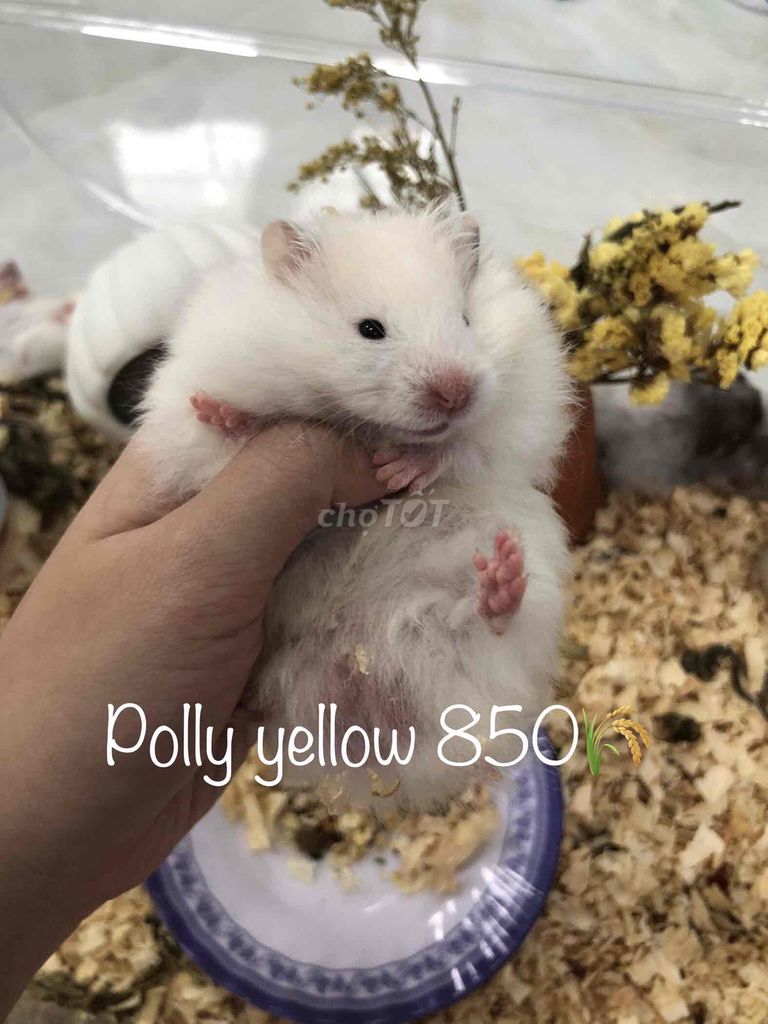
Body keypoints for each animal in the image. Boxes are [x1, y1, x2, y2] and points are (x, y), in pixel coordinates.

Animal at [140, 206, 573, 810]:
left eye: (465, 320)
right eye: (370, 329)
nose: (455, 392)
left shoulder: (524, 408)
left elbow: (466, 444)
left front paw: (401, 469)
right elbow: (229, 439)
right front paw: (220, 412)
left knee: (490, 620)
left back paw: (501, 577)